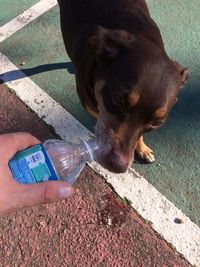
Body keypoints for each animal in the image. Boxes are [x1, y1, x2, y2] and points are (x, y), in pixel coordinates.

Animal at [57, 0, 188, 174]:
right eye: (118, 99)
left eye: (156, 123)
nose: (119, 166)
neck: (131, 28)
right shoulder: (92, 108)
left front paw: (142, 148)